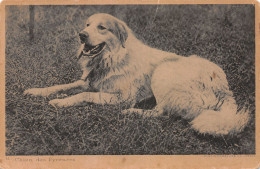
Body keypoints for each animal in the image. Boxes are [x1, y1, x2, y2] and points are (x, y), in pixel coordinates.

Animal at [23, 13, 248, 136]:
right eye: (87, 25)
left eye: (101, 27)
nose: (81, 35)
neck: (112, 58)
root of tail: (223, 86)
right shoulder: (87, 82)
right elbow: (61, 86)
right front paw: (37, 91)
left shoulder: (123, 97)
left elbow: (83, 95)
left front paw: (61, 102)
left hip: (163, 71)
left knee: (162, 113)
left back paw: (134, 113)